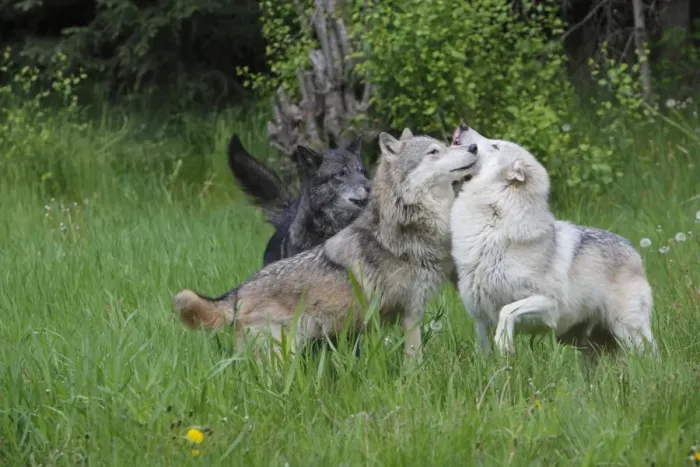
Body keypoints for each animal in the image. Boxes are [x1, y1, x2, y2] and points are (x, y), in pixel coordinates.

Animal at [450, 124, 658, 358]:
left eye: (495, 145)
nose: (463, 125)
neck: (492, 226)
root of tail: (633, 249)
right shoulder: (481, 320)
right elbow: (486, 356)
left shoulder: (548, 305)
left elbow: (507, 311)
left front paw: (504, 343)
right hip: (592, 349)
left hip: (629, 333)